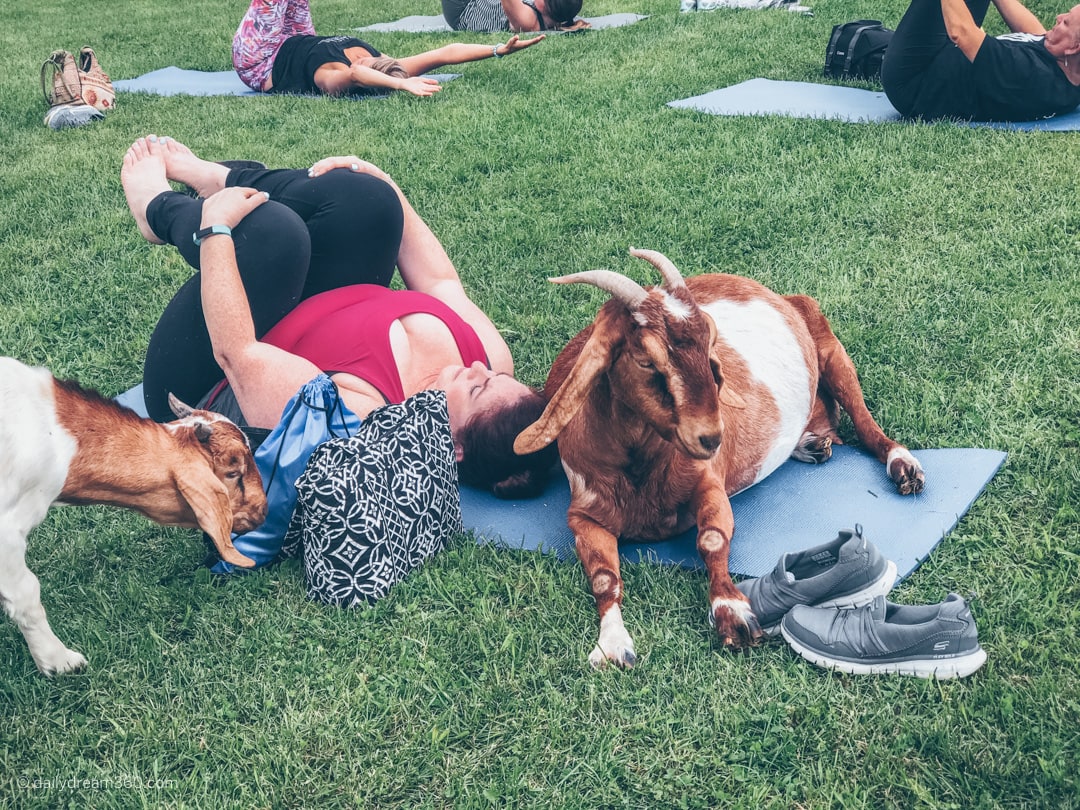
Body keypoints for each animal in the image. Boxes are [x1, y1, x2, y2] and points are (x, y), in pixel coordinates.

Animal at [518, 250, 924, 669]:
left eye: (708, 343)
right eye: (646, 360)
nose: (712, 436)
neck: (639, 468)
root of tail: (774, 293)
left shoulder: (709, 482)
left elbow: (712, 538)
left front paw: (733, 612)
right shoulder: (583, 514)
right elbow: (602, 577)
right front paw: (613, 644)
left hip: (829, 348)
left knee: (863, 418)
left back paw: (903, 466)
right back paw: (810, 445)